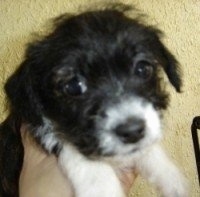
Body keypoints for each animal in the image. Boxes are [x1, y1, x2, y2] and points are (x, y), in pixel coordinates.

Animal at [0, 4, 188, 197]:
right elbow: (76, 152)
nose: (132, 131)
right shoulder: (41, 127)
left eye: (143, 69)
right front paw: (103, 188)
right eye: (74, 86)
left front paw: (170, 177)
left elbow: (149, 149)